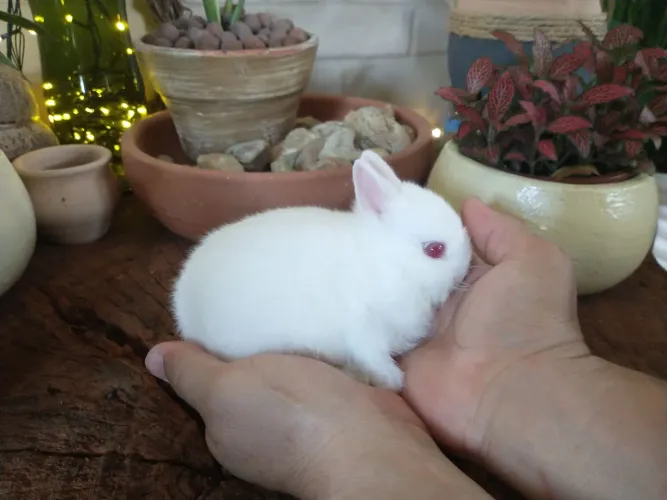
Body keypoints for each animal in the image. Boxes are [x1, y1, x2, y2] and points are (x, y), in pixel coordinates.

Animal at [171, 149, 472, 391]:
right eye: (434, 249)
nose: (464, 270)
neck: (389, 263)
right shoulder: (363, 328)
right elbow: (374, 356)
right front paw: (392, 381)